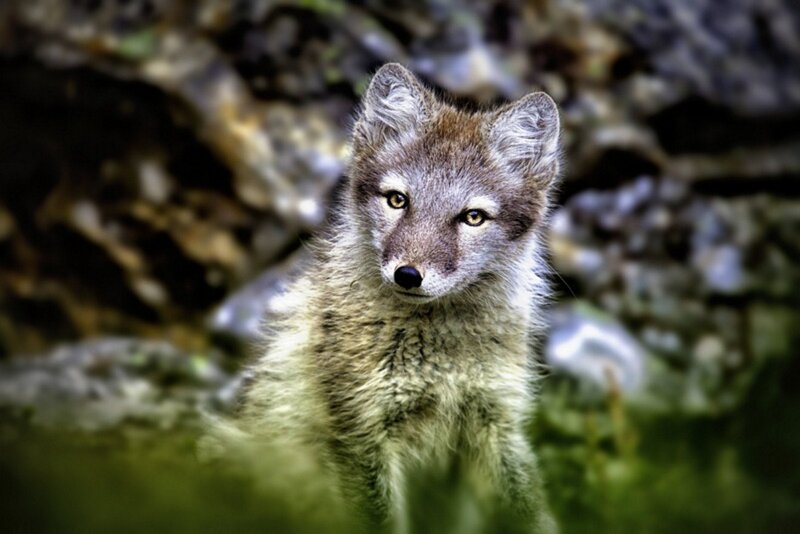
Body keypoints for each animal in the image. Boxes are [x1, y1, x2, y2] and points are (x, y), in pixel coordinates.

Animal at [210, 63, 561, 533]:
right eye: (398, 200)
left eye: (473, 217)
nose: (408, 275)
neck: (441, 360)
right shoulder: (361, 432)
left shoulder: (498, 423)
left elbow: (530, 508)